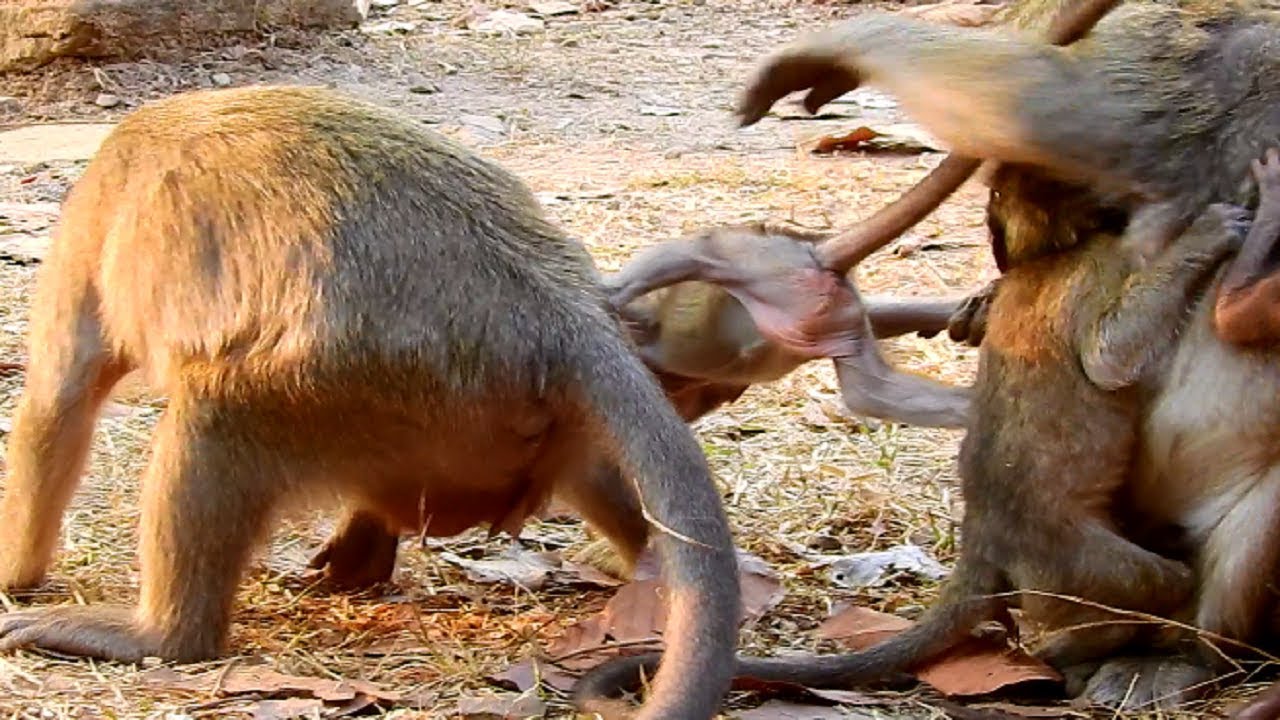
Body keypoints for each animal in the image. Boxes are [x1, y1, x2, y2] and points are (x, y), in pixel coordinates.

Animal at [0, 85, 740, 720]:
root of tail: (556, 306)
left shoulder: (91, 218)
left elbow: (56, 403)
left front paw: (12, 572)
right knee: (593, 470)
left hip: (379, 390)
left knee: (217, 413)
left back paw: (163, 637)